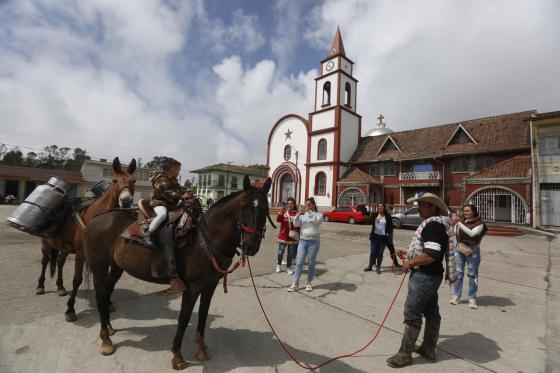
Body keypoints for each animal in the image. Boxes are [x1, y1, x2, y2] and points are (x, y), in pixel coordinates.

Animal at [34, 155, 136, 322]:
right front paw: (70, 309)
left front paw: (108, 303)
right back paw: (40, 286)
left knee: (60, 262)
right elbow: (77, 280)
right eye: (114, 180)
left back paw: (60, 286)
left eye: (133, 181)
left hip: (65, 248)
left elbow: (108, 281)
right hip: (46, 245)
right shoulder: (81, 254)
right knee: (45, 262)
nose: (126, 201)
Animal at [83, 175, 274, 370]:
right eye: (244, 208)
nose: (250, 246)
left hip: (116, 267)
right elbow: (183, 319)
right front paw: (177, 356)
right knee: (100, 297)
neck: (205, 239)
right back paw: (106, 341)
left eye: (265, 209)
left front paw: (202, 350)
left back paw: (109, 328)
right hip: (99, 268)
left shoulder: (209, 286)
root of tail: (95, 219)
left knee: (107, 292)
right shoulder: (192, 288)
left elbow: (203, 315)